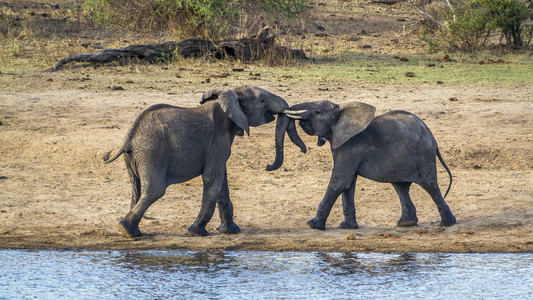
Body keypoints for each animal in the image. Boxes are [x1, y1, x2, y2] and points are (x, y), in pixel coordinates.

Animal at [101, 85, 306, 237]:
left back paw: (133, 232)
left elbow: (222, 182)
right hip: (153, 154)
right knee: (155, 190)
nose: (267, 166)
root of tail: (129, 138)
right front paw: (197, 232)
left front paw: (230, 231)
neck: (229, 95)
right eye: (262, 100)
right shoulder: (218, 141)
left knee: (136, 188)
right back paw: (126, 230)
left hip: (135, 157)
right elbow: (212, 178)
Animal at [284, 100, 456, 230]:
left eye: (318, 112)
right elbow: (348, 184)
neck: (341, 112)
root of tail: (432, 137)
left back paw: (446, 223)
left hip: (423, 154)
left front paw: (313, 225)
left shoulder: (351, 147)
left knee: (430, 186)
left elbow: (339, 182)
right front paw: (348, 227)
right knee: (400, 187)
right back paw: (407, 223)